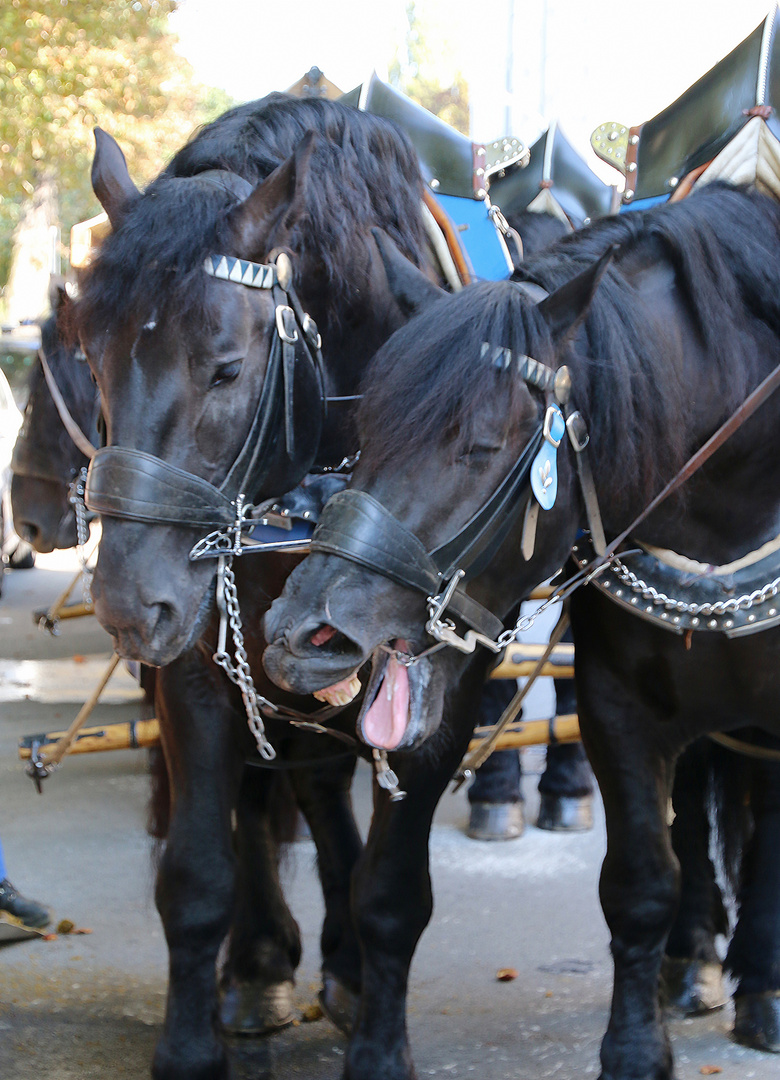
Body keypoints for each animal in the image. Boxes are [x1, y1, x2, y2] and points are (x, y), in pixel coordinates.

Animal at [264, 181, 777, 1075]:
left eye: (478, 445)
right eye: (367, 434)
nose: (304, 634)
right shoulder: (618, 708)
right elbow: (640, 882)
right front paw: (637, 1045)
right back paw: (695, 961)